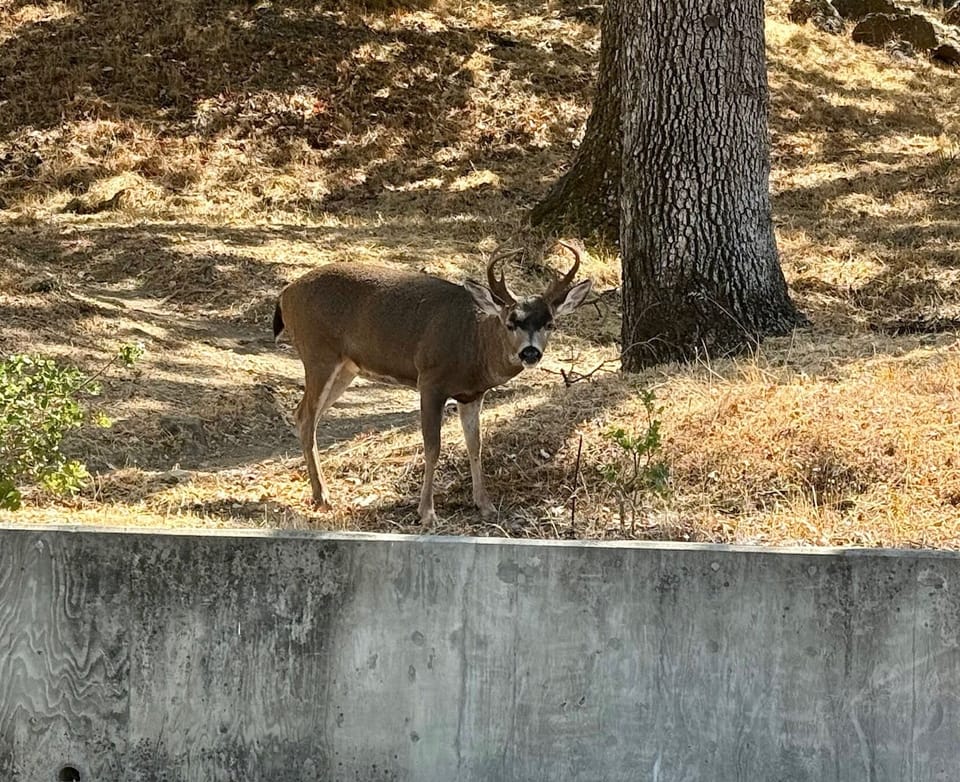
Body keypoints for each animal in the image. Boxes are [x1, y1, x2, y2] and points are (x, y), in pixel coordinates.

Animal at [273, 242, 592, 525]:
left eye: (550, 324)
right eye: (510, 322)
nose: (530, 352)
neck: (473, 345)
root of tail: (285, 294)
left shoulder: (471, 395)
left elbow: (475, 446)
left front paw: (485, 505)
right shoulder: (430, 381)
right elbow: (432, 447)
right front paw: (426, 512)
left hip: (346, 367)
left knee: (305, 416)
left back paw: (320, 493)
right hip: (318, 353)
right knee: (305, 415)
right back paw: (323, 497)